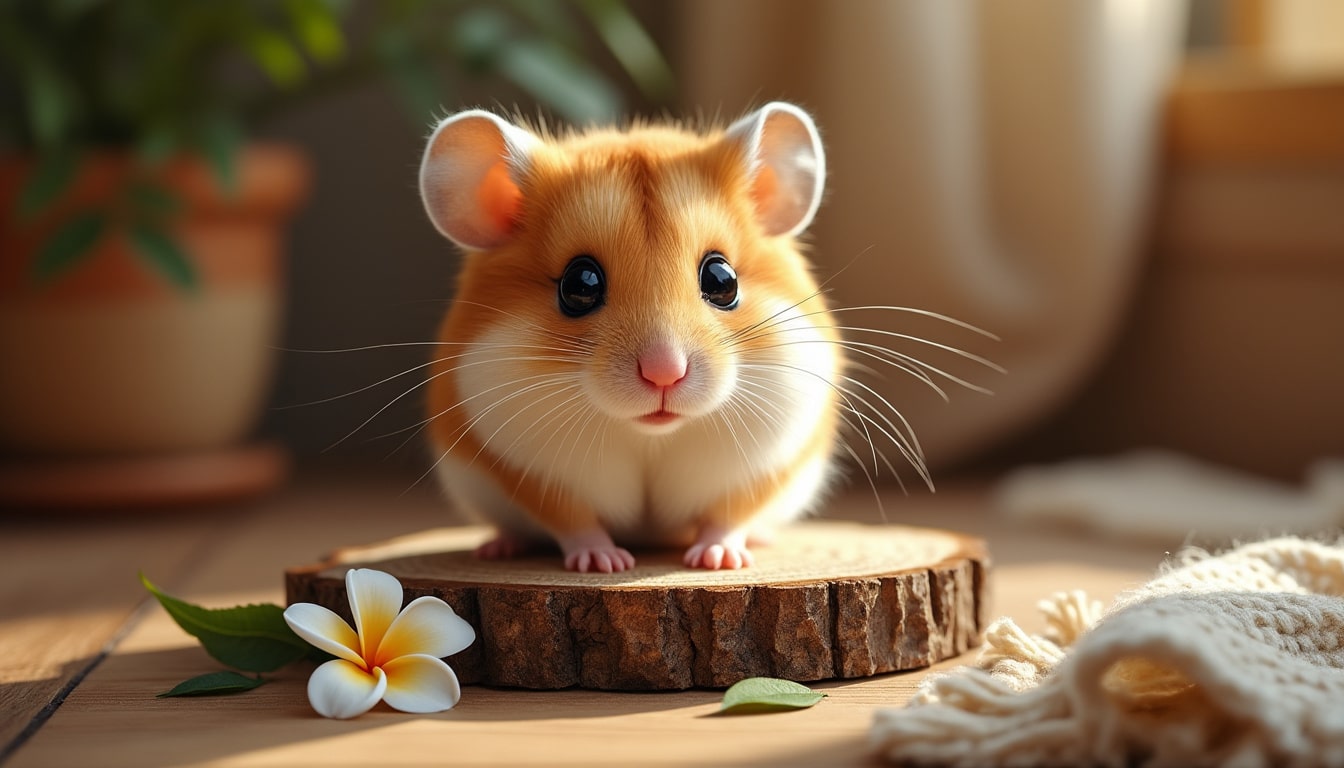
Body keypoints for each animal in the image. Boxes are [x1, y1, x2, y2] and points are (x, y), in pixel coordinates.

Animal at [417, 102, 841, 573]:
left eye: (722, 279)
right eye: (579, 284)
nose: (664, 374)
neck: (650, 436)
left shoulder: (760, 467)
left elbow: (727, 517)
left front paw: (717, 561)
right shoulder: (538, 476)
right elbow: (576, 522)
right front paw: (605, 564)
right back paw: (499, 547)